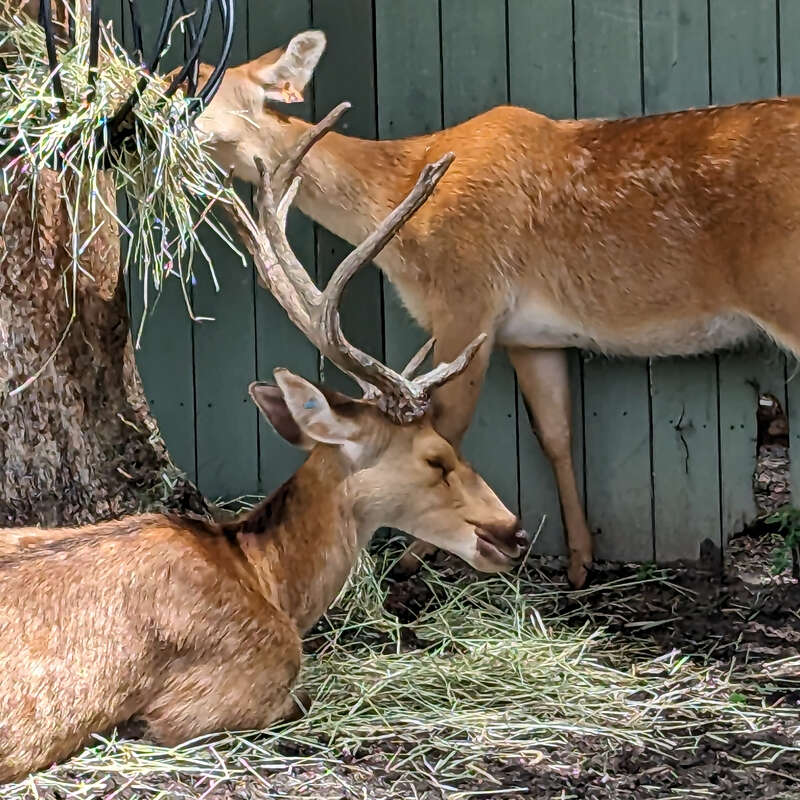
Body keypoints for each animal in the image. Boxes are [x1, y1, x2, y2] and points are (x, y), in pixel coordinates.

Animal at [188, 28, 800, 589]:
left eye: (196, 90)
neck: (397, 197)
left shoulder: (467, 298)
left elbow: (449, 425)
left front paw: (417, 557)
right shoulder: (530, 337)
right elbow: (555, 432)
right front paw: (581, 563)